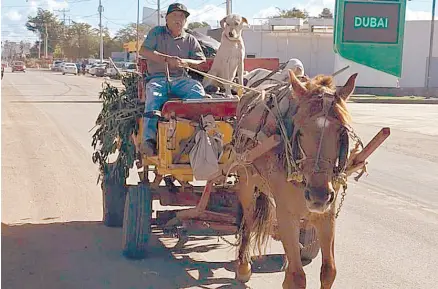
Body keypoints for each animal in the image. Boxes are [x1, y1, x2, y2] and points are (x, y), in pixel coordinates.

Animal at [231, 70, 358, 288]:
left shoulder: (327, 214)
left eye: (342, 131)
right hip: (246, 180)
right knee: (249, 219)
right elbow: (297, 277)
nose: (318, 196)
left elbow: (329, 271)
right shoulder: (286, 214)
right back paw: (244, 266)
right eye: (301, 130)